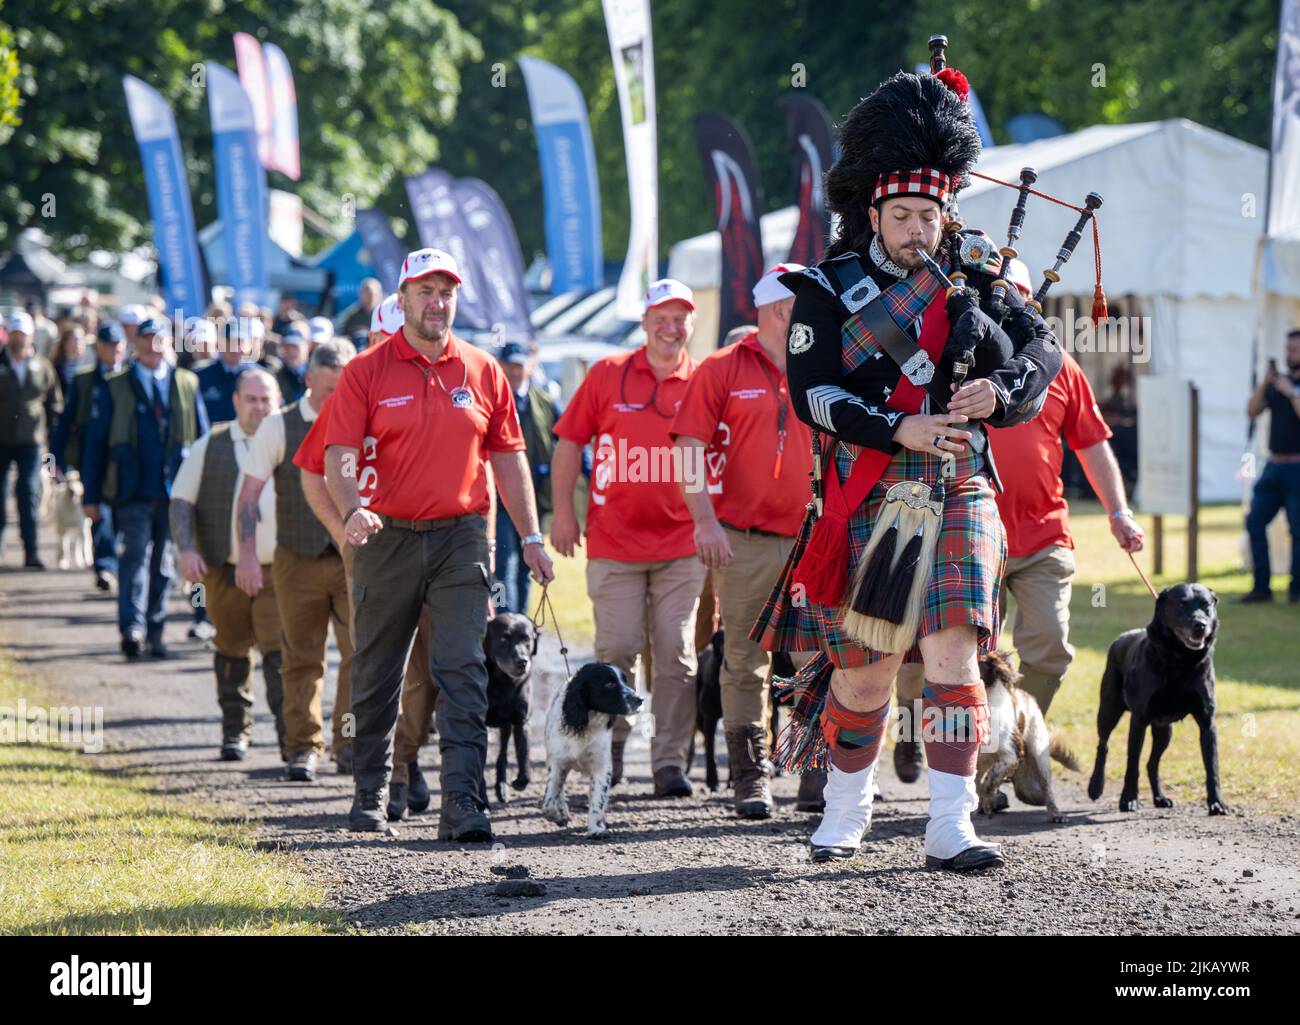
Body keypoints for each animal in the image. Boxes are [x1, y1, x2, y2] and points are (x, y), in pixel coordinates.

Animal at [540, 660, 642, 837]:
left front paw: (596, 829)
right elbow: (549, 800)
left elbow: (598, 800)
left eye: (625, 680)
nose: (640, 699)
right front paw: (558, 815)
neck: (587, 724)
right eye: (609, 684)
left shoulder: (602, 767)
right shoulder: (557, 762)